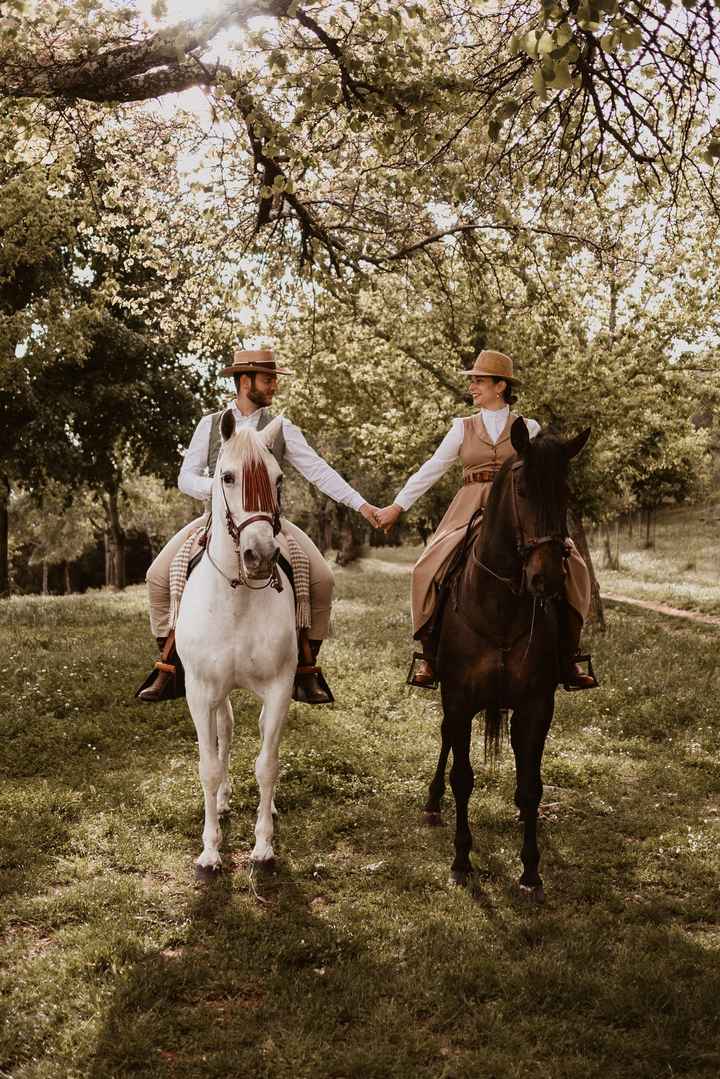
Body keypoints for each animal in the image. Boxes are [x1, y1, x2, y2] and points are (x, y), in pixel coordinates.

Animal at [175, 407, 297, 871]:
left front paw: (263, 845)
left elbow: (267, 764)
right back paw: (225, 800)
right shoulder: (199, 691)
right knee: (224, 733)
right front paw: (210, 850)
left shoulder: (280, 688)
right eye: (226, 476)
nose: (259, 555)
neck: (239, 598)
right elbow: (209, 767)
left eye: (278, 479)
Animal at [425, 418, 587, 902]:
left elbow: (532, 785)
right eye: (523, 490)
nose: (547, 578)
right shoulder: (458, 699)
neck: (498, 605)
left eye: (566, 492)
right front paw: (461, 861)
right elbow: (463, 777)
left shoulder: (536, 705)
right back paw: (432, 802)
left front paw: (531, 870)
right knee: (446, 741)